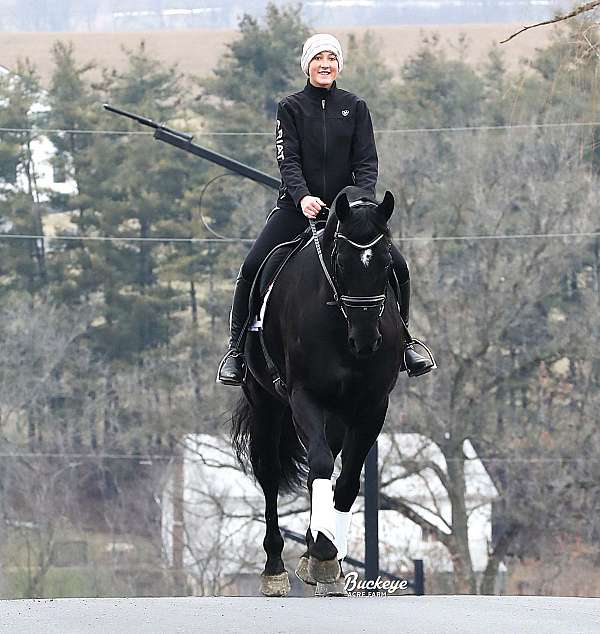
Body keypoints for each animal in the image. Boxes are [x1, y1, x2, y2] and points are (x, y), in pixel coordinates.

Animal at [232, 185, 406, 596]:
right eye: (341, 261)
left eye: (386, 263)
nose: (366, 341)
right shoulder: (304, 398)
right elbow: (322, 465)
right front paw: (324, 553)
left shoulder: (372, 406)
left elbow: (346, 480)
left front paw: (327, 557)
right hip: (266, 404)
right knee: (271, 472)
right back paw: (275, 568)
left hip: (337, 415)